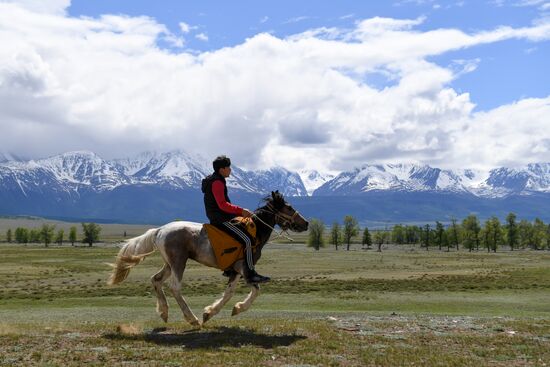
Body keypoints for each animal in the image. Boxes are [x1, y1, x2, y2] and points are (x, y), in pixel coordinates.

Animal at [108, 191, 310, 326]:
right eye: (289, 207)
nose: (306, 223)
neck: (254, 232)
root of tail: (160, 230)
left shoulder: (235, 270)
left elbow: (230, 292)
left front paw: (212, 312)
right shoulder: (245, 268)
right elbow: (254, 290)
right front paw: (234, 309)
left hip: (169, 264)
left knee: (156, 280)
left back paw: (164, 313)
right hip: (179, 262)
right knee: (175, 287)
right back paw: (192, 319)